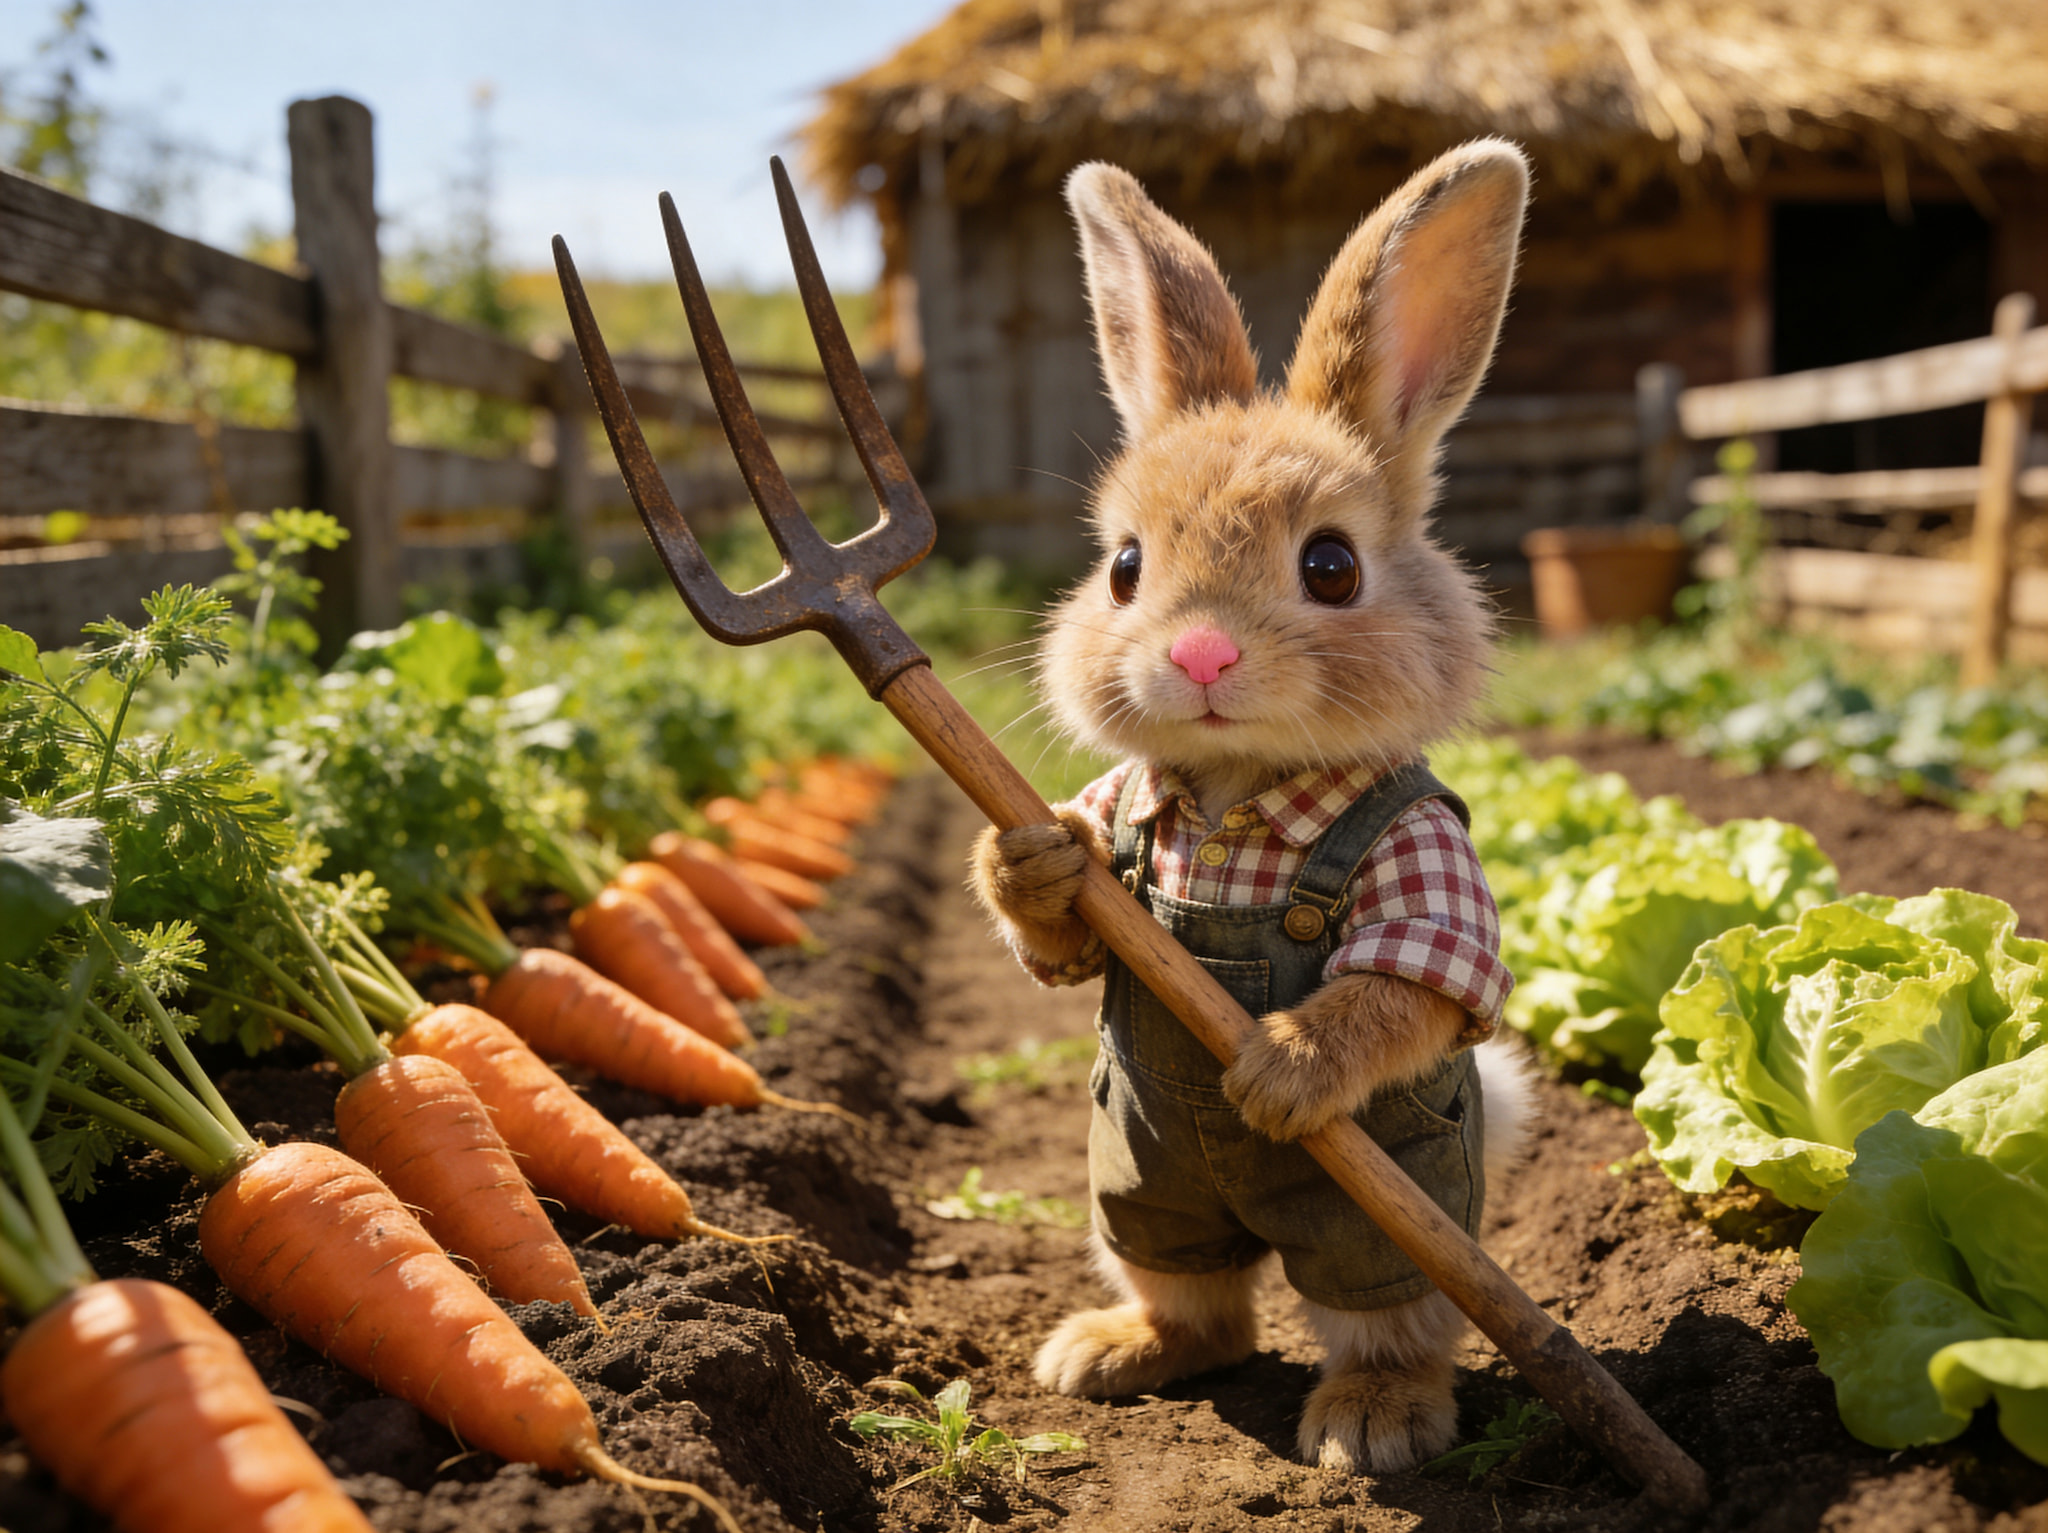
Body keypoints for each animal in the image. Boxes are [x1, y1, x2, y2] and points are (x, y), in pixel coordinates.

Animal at [968, 139, 1533, 1476]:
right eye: (1124, 567)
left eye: (1330, 566)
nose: (1202, 655)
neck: (1238, 800)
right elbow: (1060, 935)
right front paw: (1037, 860)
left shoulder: (1425, 864)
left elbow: (1406, 987)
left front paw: (1280, 1073)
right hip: (1130, 1191)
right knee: (1199, 1300)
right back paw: (1108, 1356)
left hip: (1388, 1221)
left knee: (1383, 1313)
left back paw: (1370, 1424)